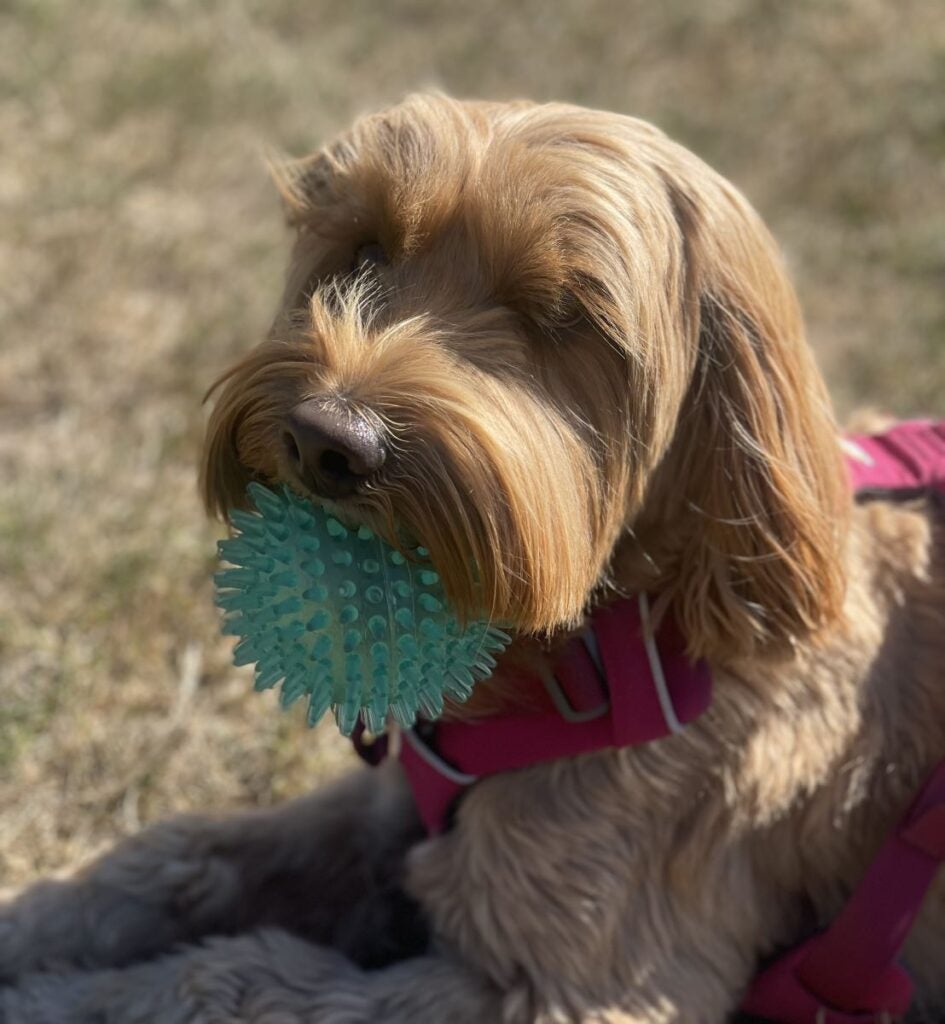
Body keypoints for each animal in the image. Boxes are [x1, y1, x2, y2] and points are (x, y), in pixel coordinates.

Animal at [1, 92, 945, 1019]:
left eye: (561, 315)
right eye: (366, 249)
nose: (325, 439)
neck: (609, 645)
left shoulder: (588, 985)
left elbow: (236, 976)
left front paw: (64, 997)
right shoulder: (381, 811)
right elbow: (179, 853)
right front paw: (34, 935)